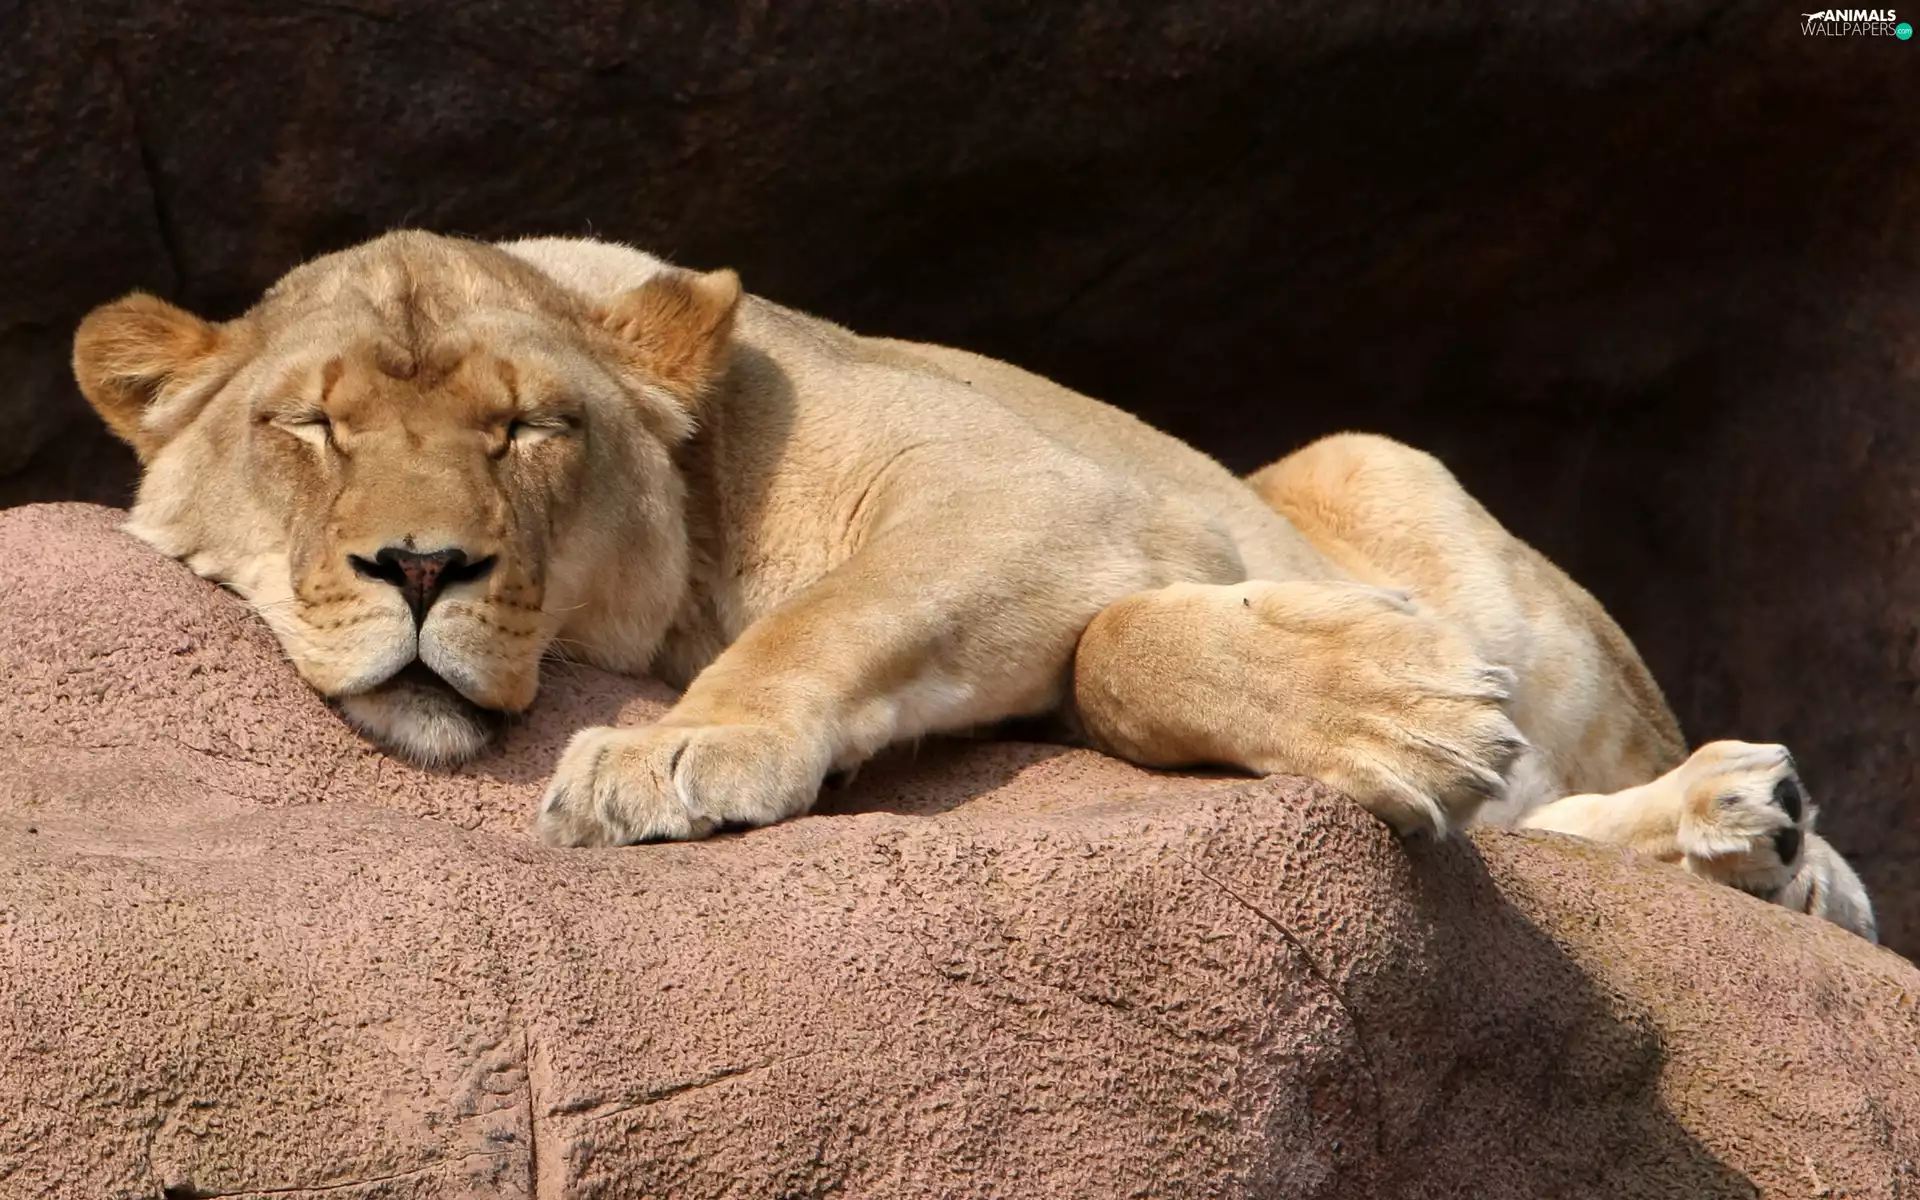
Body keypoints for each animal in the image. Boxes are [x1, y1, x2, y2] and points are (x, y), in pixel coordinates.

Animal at [70, 230, 1875, 941]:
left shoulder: (1027, 483)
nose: (422, 564)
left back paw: (1775, 836)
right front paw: (1403, 711)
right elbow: (1115, 656)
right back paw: (1746, 835)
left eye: (526, 429)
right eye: (311, 426)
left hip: (1381, 461)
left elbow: (1001, 632)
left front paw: (666, 750)